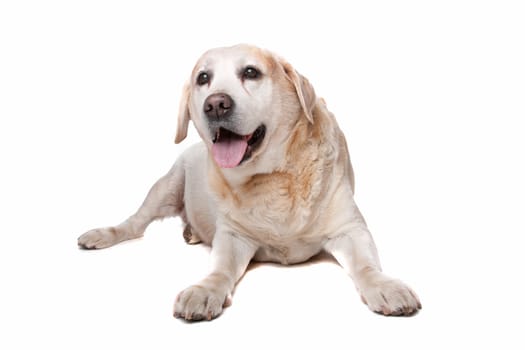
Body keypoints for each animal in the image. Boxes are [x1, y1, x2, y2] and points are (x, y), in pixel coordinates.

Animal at [78, 43, 422, 320]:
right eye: (203, 78)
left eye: (251, 72)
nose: (215, 104)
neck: (273, 177)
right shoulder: (233, 236)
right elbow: (220, 269)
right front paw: (205, 290)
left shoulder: (350, 229)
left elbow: (365, 265)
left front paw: (385, 286)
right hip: (167, 186)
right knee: (134, 224)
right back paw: (102, 234)